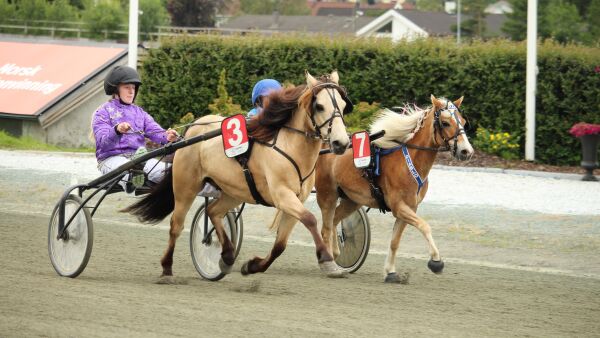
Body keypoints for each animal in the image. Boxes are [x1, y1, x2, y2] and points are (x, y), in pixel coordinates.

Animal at [314, 94, 474, 282]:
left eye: (462, 121)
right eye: (445, 122)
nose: (466, 151)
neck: (409, 161)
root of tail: (325, 145)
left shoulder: (410, 207)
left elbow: (395, 241)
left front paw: (390, 272)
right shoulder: (399, 207)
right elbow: (425, 226)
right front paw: (436, 261)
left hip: (352, 200)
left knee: (333, 220)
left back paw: (335, 252)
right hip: (327, 194)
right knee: (325, 227)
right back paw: (329, 262)